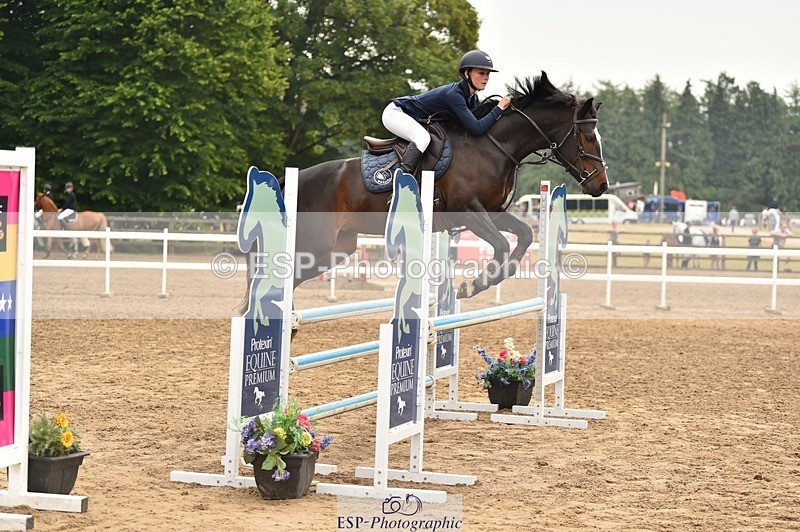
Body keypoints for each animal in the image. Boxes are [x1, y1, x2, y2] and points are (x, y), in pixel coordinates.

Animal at [251, 72, 608, 302]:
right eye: (588, 136)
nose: (601, 186)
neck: (493, 145)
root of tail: (290, 181)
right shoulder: (468, 209)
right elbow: (501, 244)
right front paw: (474, 285)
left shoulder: (491, 210)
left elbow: (523, 236)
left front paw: (479, 282)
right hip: (315, 244)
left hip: (338, 247)